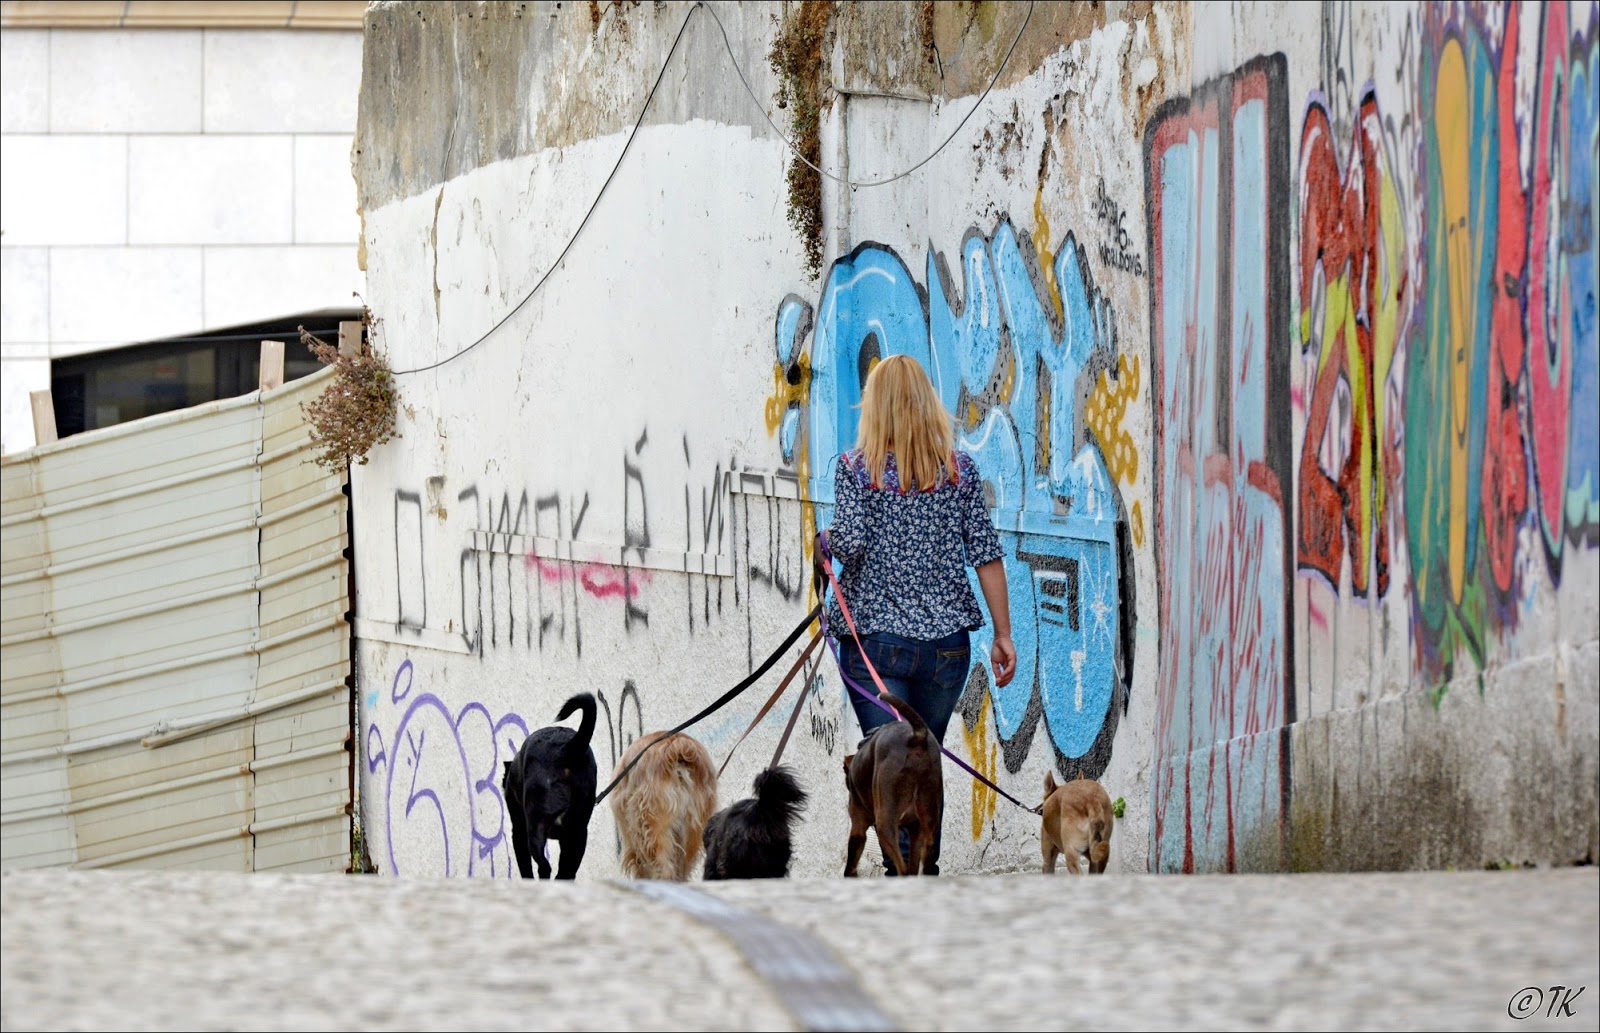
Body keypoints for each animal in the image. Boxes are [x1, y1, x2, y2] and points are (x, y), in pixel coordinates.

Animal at [502, 692, 598, 880]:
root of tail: (566, 749)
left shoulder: (518, 830)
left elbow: (525, 865)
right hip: (579, 831)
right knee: (566, 872)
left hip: (535, 826)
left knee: (544, 865)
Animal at [842, 692, 943, 877]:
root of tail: (917, 738)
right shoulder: (915, 831)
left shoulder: (858, 828)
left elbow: (850, 866)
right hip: (928, 827)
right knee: (918, 865)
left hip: (885, 825)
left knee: (902, 869)